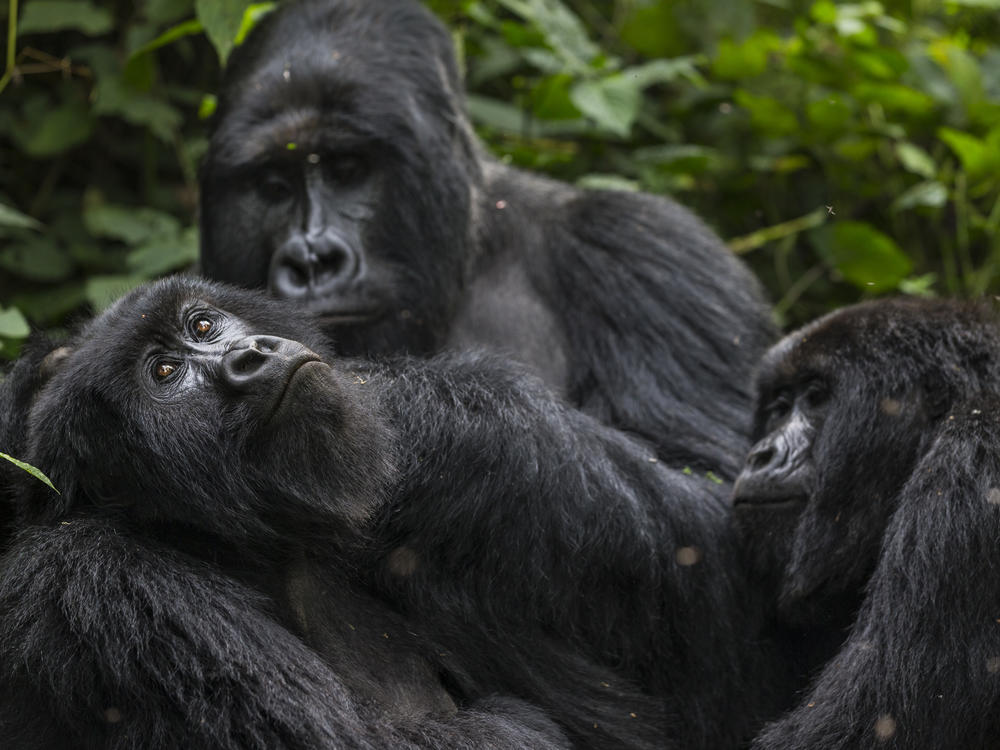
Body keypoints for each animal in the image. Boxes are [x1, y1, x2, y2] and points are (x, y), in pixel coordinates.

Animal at [195, 0, 772, 482]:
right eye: (273, 186)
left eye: (347, 169)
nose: (312, 260)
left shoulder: (649, 253)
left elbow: (709, 483)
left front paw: (398, 405)